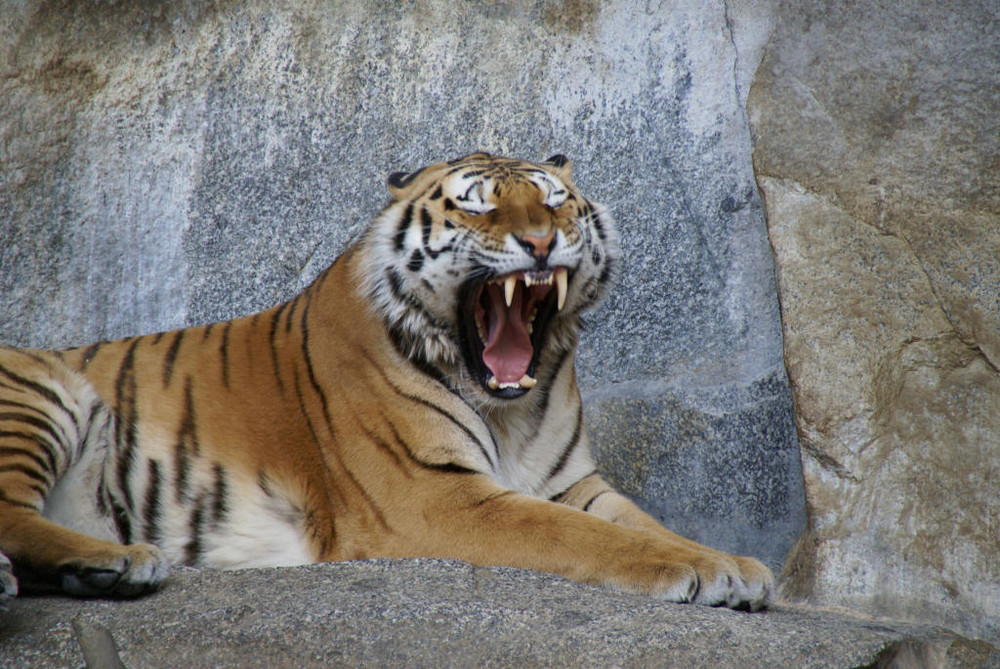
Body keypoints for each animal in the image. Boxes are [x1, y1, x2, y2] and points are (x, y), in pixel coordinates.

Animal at [0, 153, 772, 612]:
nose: (541, 242)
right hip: (42, 394)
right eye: (479, 207)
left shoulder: (572, 481)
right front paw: (701, 571)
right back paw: (120, 559)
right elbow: (589, 537)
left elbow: (642, 522)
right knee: (12, 511)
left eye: (554, 203)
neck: (509, 411)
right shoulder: (436, 494)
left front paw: (735, 564)